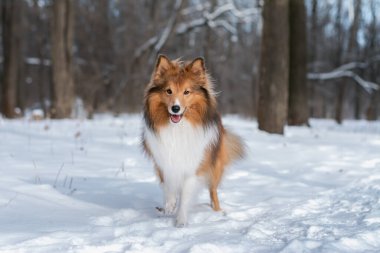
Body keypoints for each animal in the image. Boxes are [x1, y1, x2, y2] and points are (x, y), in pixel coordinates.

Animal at [141, 54, 245, 226]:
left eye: (186, 92)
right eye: (168, 91)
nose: (175, 108)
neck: (178, 128)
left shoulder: (194, 165)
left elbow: (185, 194)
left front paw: (181, 220)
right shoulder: (163, 162)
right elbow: (169, 187)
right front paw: (169, 206)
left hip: (214, 166)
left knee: (213, 190)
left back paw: (218, 211)